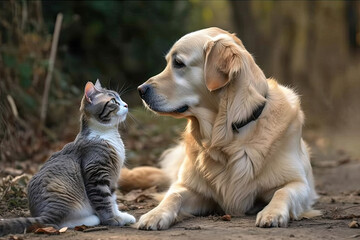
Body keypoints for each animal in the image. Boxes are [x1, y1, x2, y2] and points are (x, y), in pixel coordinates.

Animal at [0, 79, 135, 236]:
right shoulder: (96, 173)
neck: (108, 134)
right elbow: (104, 201)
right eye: (113, 101)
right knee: (54, 222)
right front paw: (112, 219)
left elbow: (112, 199)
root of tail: (42, 213)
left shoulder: (112, 178)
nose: (126, 105)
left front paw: (121, 215)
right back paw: (90, 219)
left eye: (121, 98)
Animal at [130, 27, 320, 230]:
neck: (228, 133)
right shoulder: (191, 188)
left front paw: (272, 213)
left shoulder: (299, 183)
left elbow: (283, 192)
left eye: (178, 63)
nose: (140, 90)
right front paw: (155, 214)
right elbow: (173, 195)